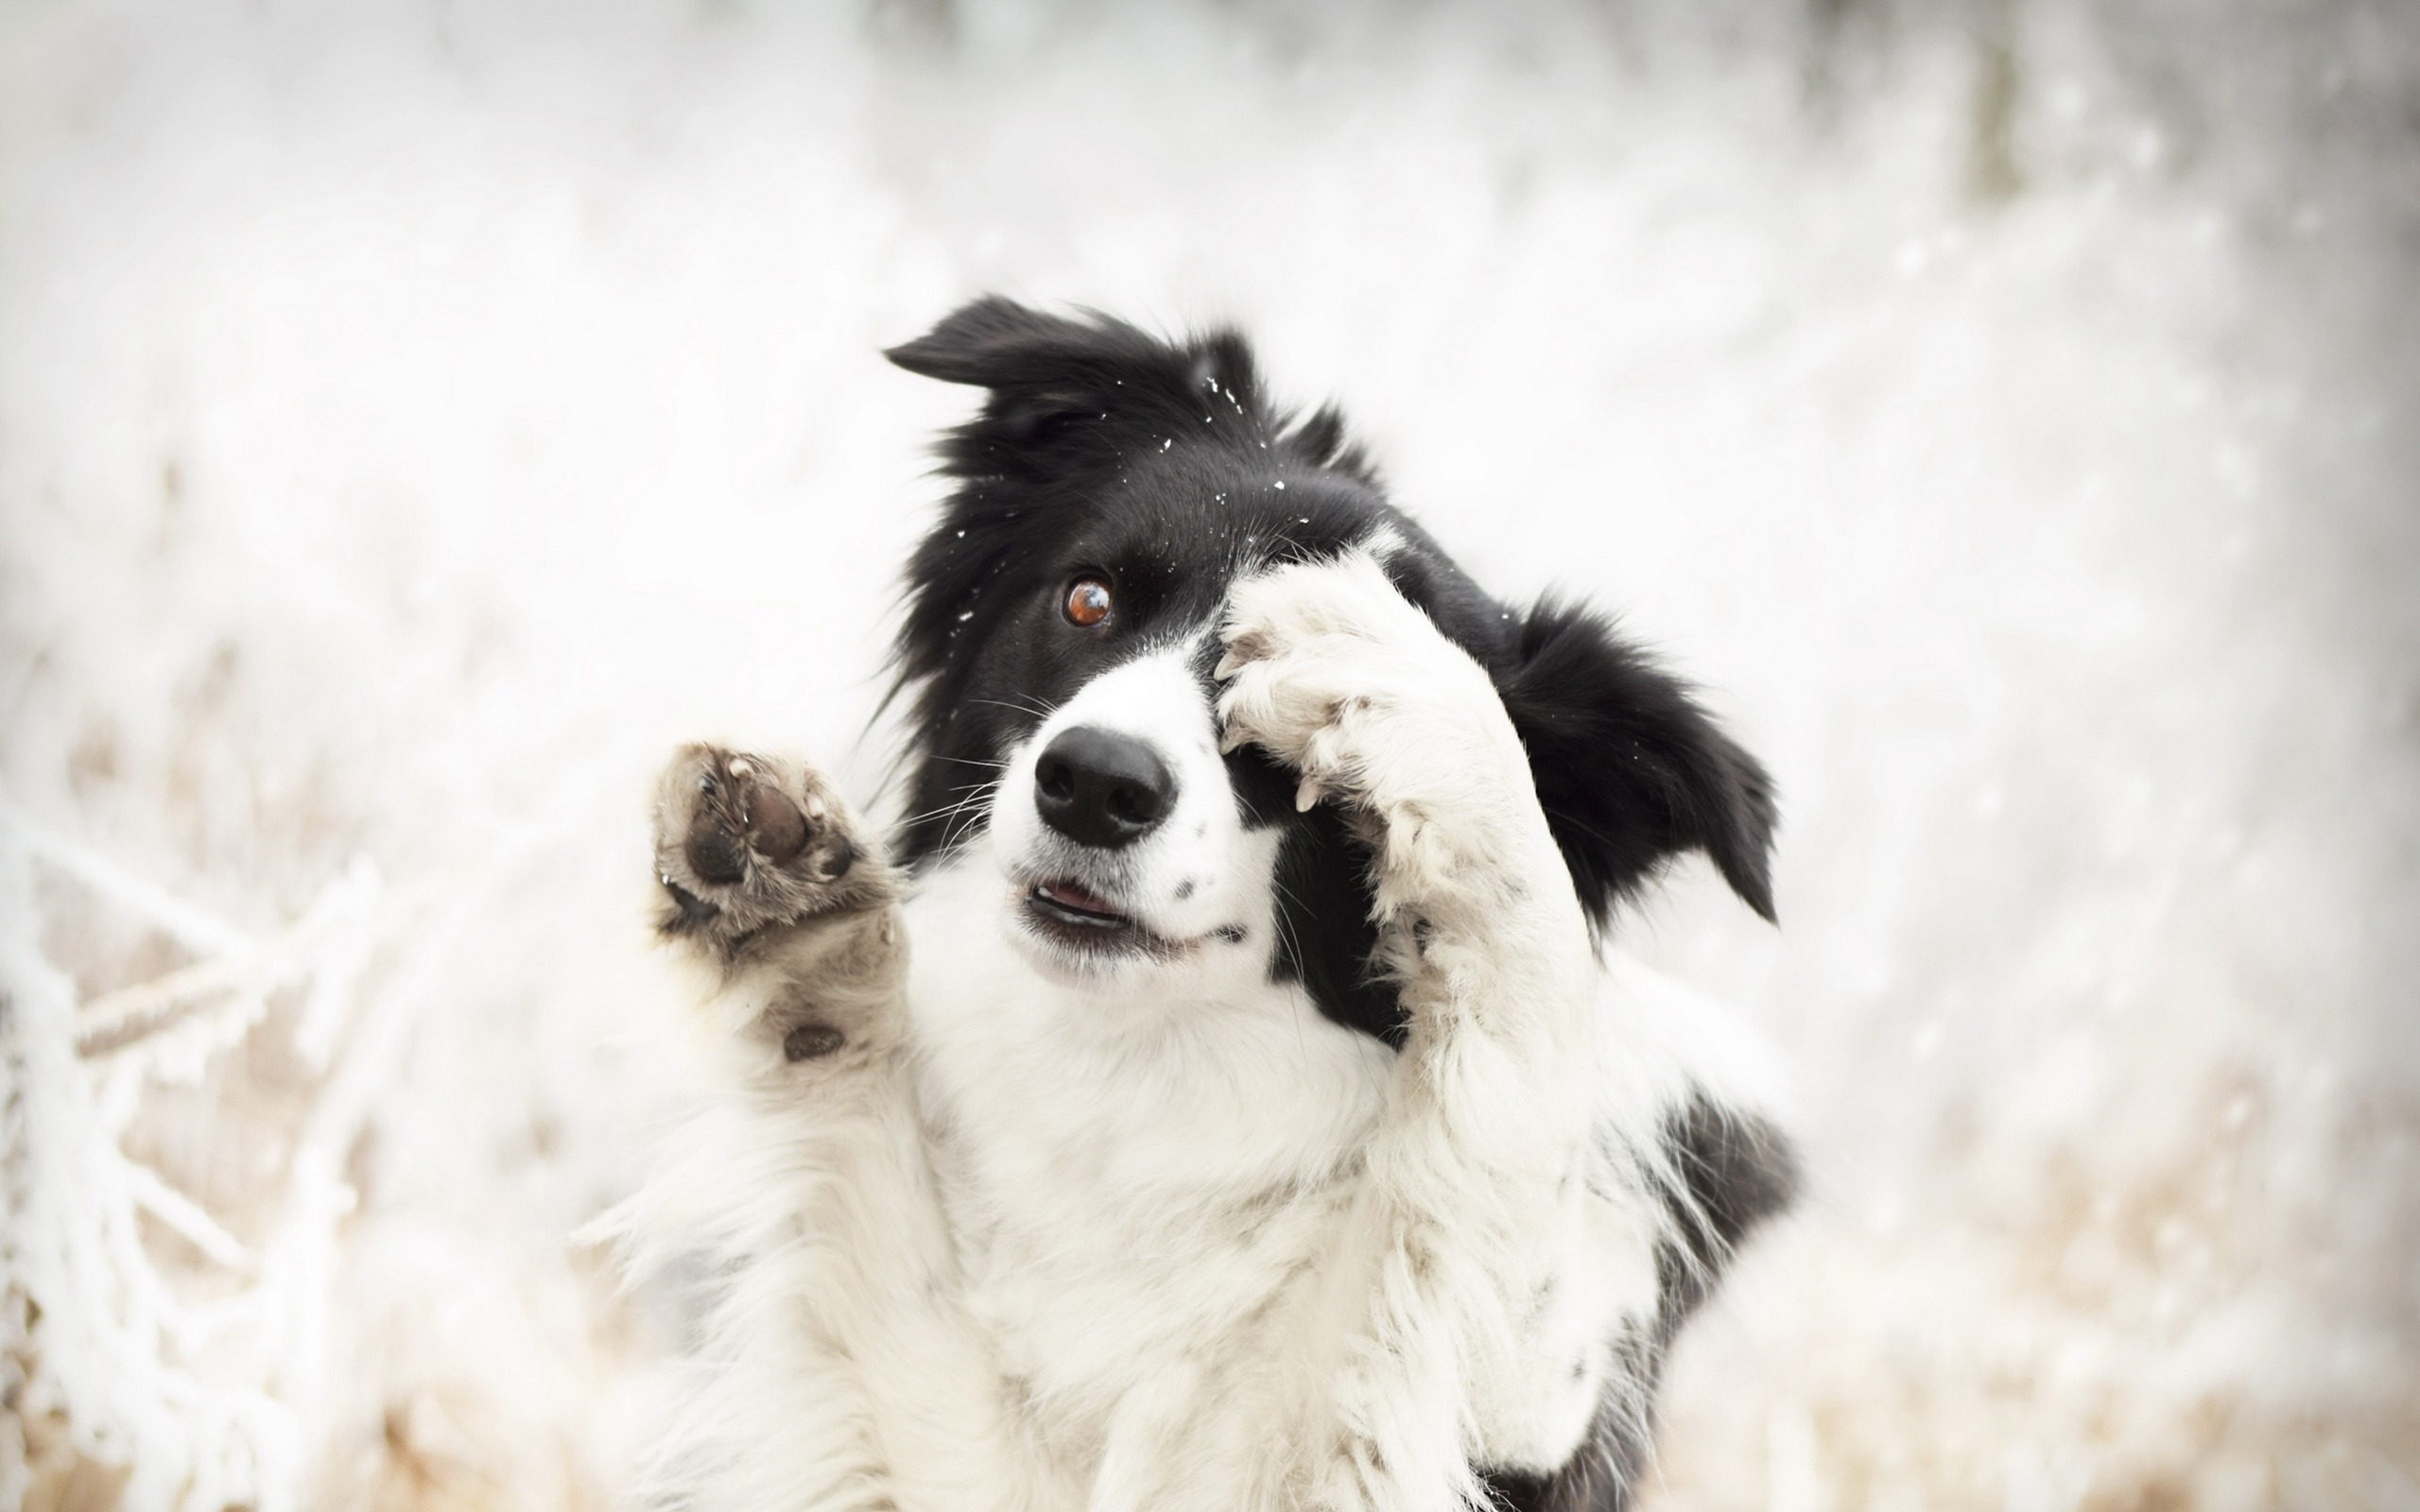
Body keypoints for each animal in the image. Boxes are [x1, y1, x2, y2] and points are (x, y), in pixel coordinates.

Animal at [614, 297, 1800, 1509]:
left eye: (1308, 754)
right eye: (1088, 598)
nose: (1093, 782)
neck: (1140, 1075)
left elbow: (1505, 1125)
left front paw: (1411, 686)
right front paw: (796, 921)